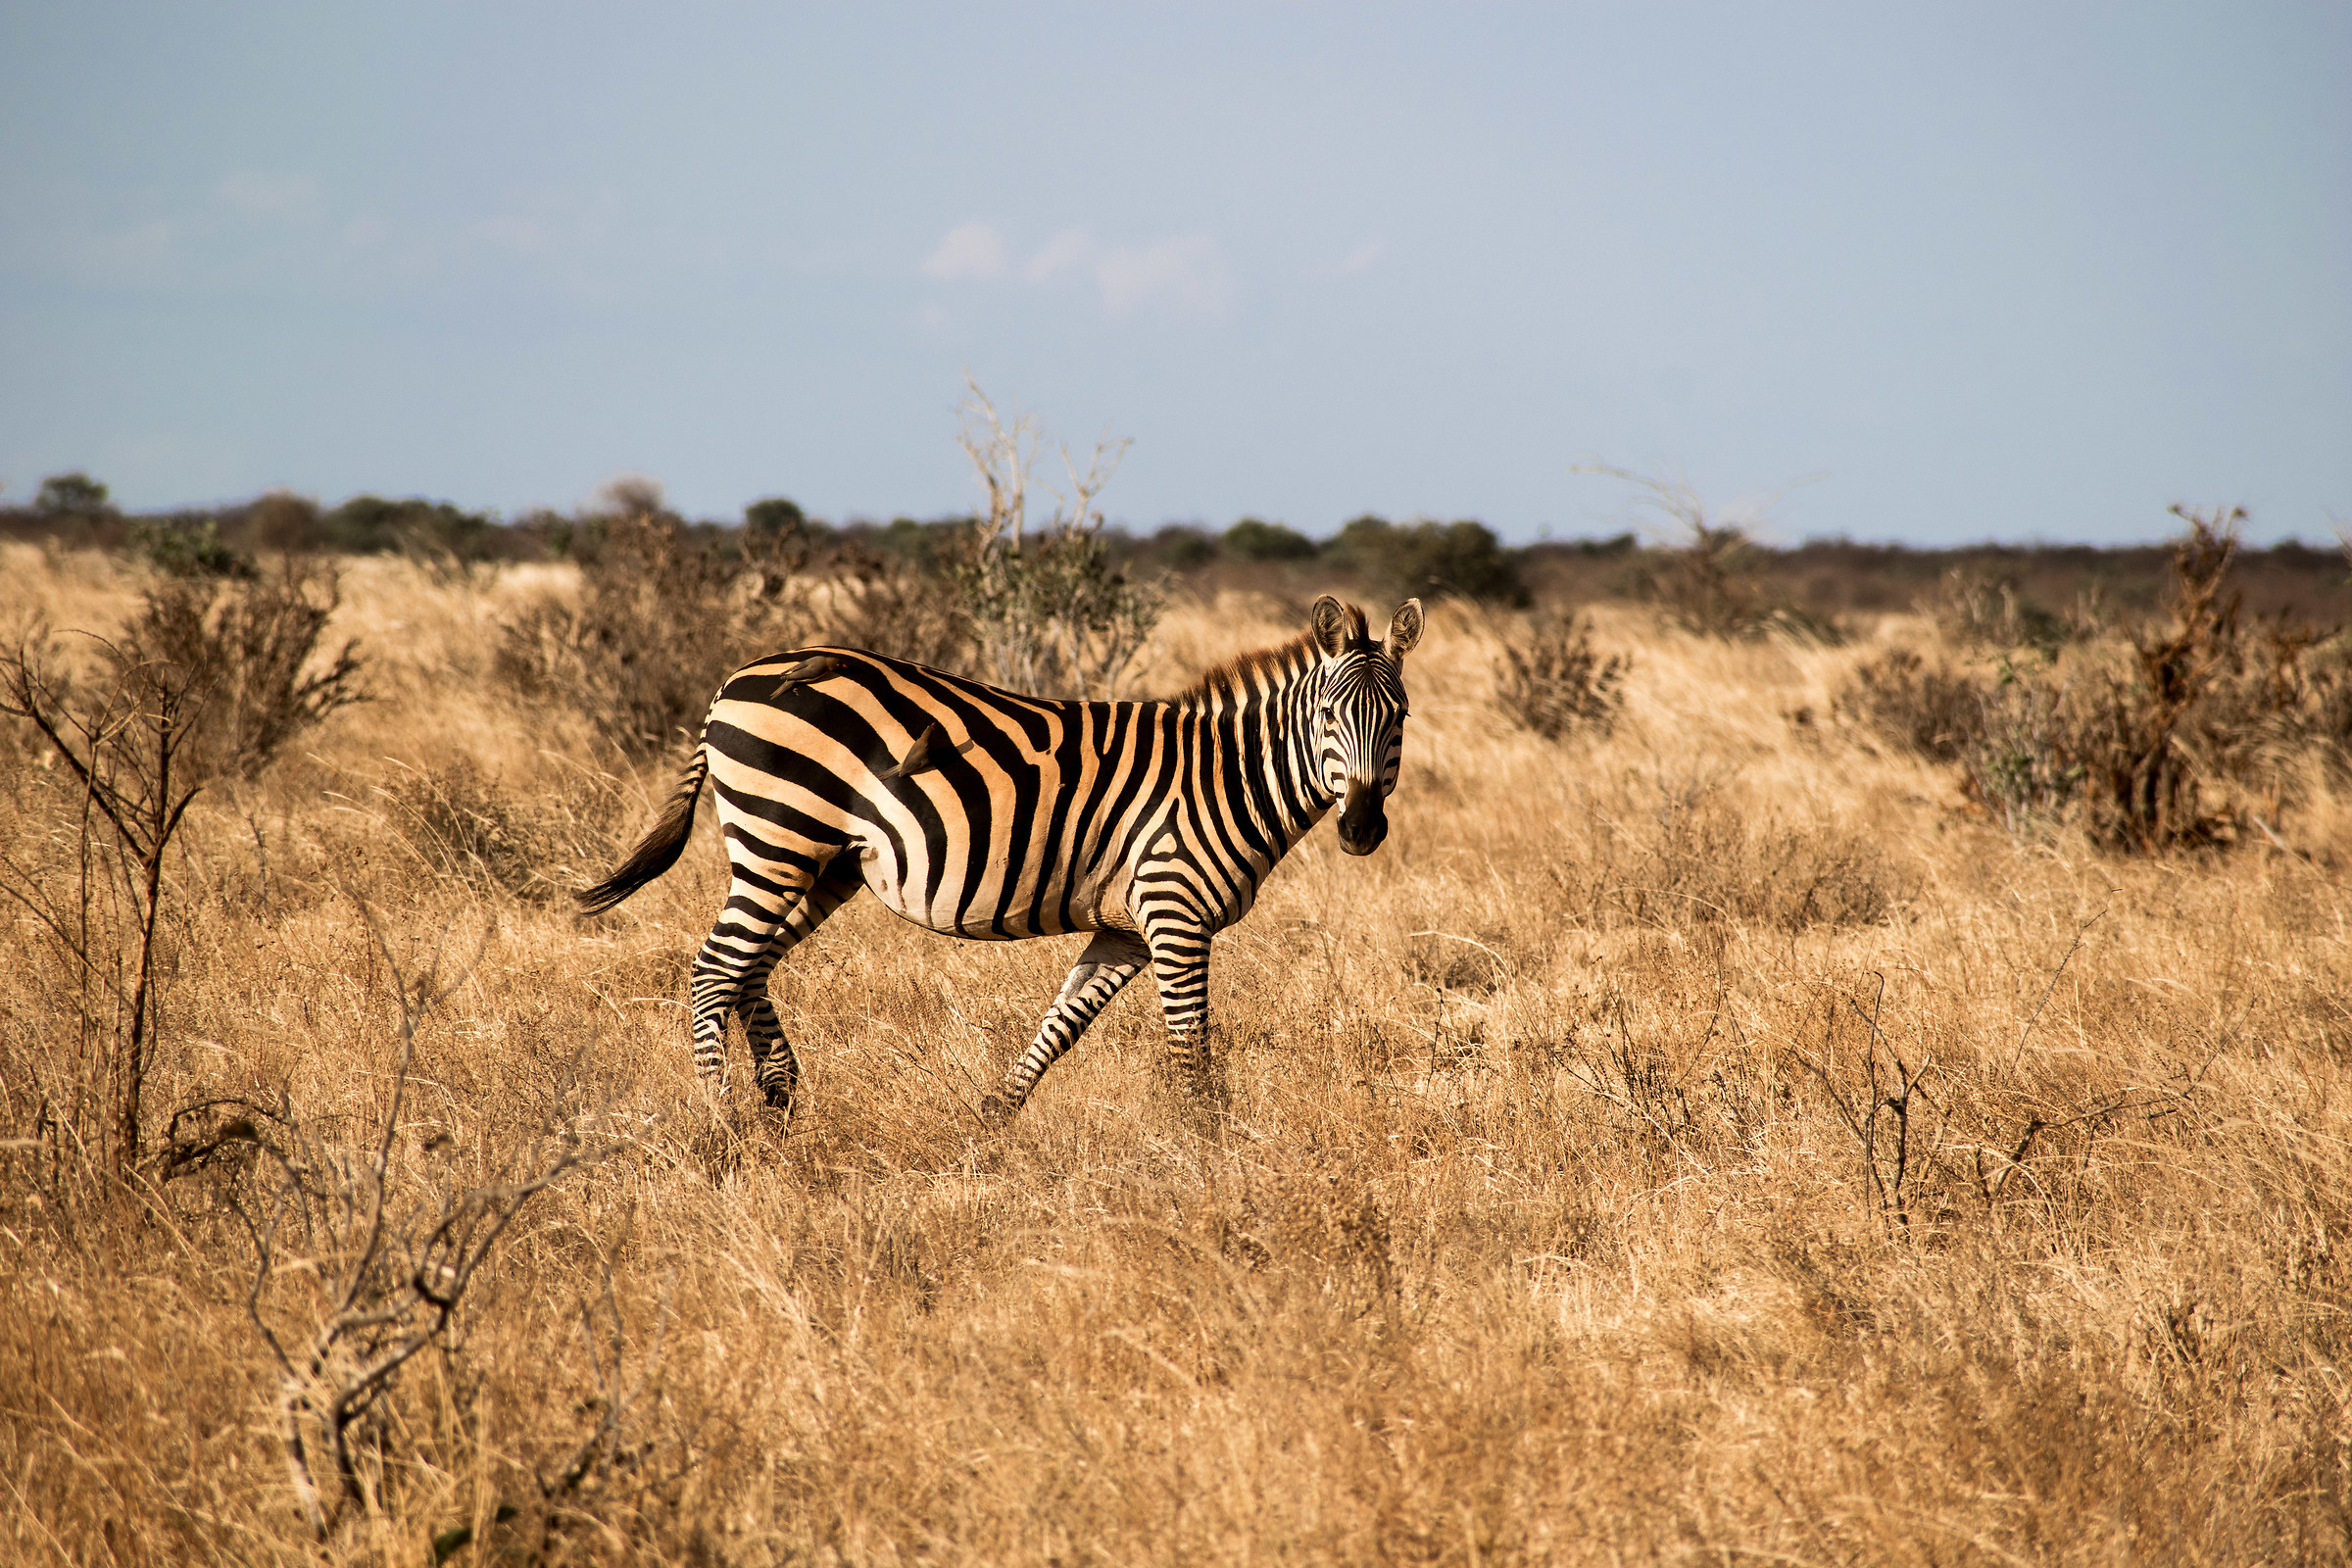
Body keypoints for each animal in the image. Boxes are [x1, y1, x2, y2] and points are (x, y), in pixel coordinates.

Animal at [576, 593, 1424, 1118]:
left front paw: (993, 1119)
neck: (1228, 776)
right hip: (780, 835)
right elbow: (1192, 1051)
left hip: (824, 861)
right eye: (1327, 714)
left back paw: (781, 1096)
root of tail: (733, 681)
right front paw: (1207, 1155)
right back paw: (722, 1118)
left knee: (749, 966)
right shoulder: (1175, 912)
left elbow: (1064, 1022)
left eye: (1402, 717)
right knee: (716, 967)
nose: (1361, 831)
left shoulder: (1124, 927)